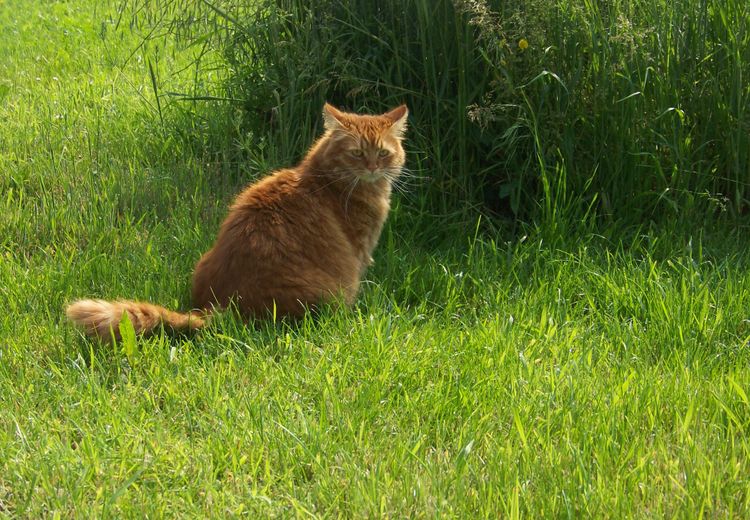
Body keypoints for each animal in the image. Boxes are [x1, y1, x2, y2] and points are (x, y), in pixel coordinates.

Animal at [69, 103, 412, 340]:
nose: (372, 167)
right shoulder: (358, 254)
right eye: (357, 153)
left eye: (382, 153)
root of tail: (226, 306)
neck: (324, 180)